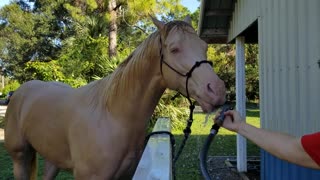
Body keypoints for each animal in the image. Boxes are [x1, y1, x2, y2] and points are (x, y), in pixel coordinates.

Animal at [3, 16, 226, 179]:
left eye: (204, 46)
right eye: (174, 49)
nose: (217, 90)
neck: (113, 115)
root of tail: (18, 93)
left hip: (52, 159)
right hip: (20, 158)